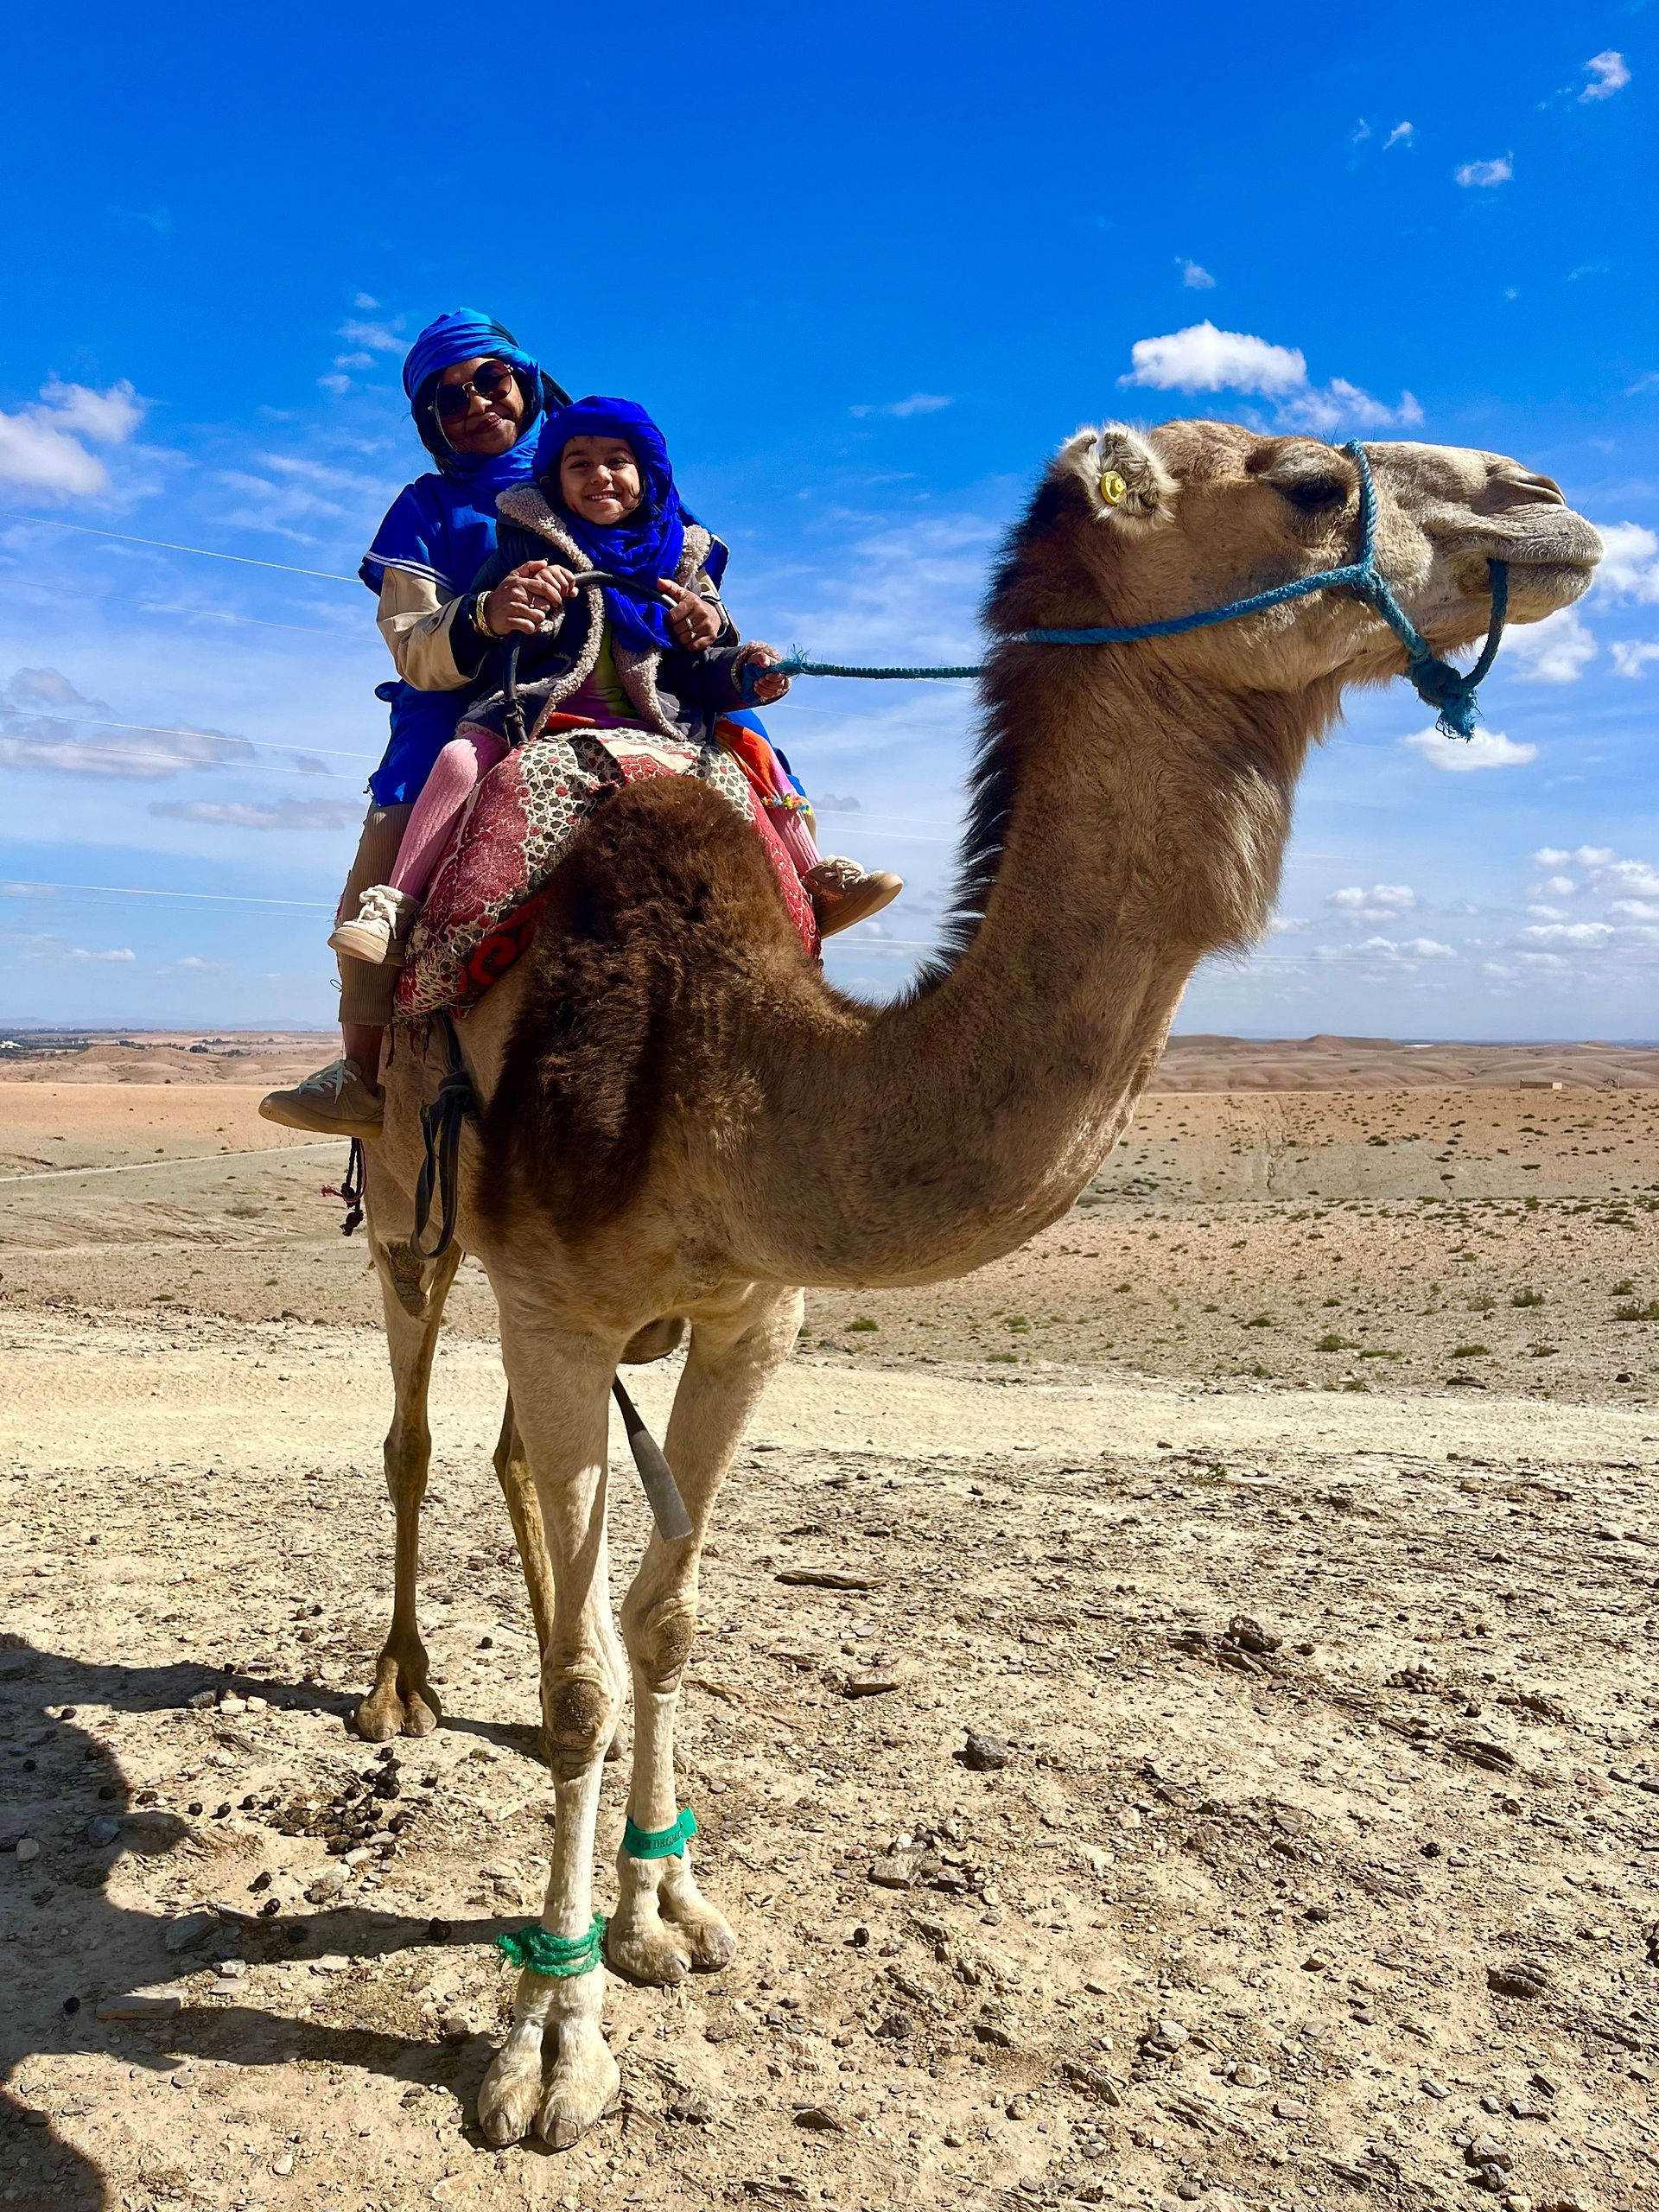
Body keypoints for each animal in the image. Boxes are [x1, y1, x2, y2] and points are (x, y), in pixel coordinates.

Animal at [350, 418, 1599, 2148]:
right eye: (1302, 482)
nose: (1547, 504)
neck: (717, 1060)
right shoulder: (555, 1299)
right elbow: (598, 1681)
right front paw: (550, 2034)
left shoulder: (754, 1316)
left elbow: (665, 1621)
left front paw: (664, 1909)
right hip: (409, 1210)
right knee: (410, 1433)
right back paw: (397, 1693)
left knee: (511, 1476)